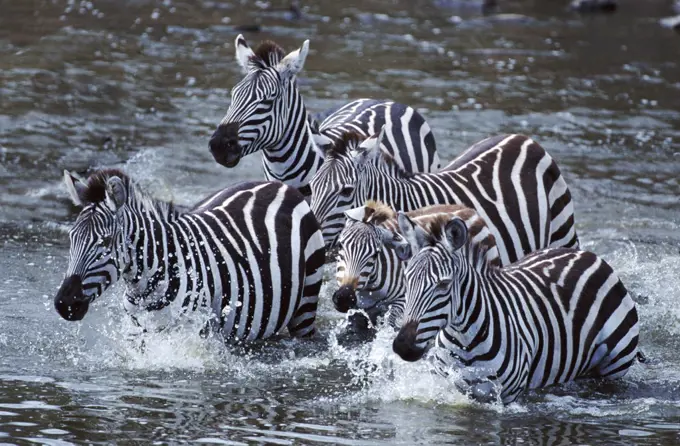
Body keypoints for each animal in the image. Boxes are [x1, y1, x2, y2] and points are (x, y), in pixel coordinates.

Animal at [54, 168, 326, 342]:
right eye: (72, 238)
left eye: (106, 242)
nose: (63, 303)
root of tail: (280, 186)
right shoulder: (141, 332)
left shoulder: (194, 332)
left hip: (306, 303)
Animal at [334, 201, 500, 328]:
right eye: (340, 246)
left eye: (375, 254)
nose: (343, 298)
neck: (369, 289)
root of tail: (469, 209)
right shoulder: (360, 308)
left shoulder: (402, 300)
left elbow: (389, 326)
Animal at [390, 211, 640, 402]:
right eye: (407, 280)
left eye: (443, 284)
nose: (403, 346)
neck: (464, 340)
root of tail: (588, 255)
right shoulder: (453, 386)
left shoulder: (508, 395)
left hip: (614, 366)